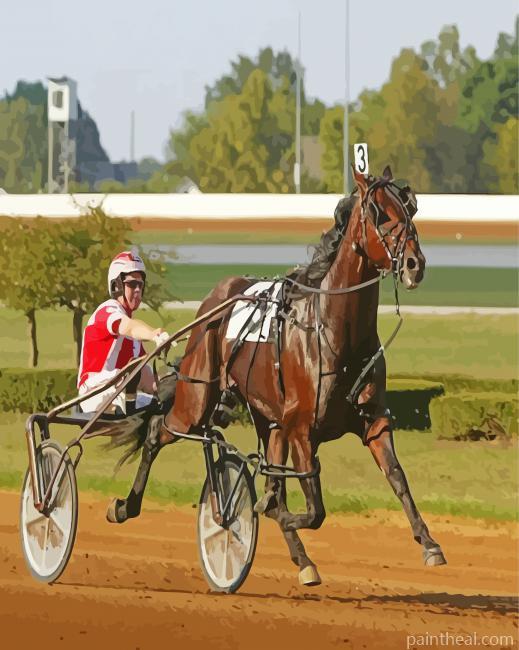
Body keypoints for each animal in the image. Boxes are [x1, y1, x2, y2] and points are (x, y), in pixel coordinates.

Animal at [107, 166, 447, 586]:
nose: (415, 264)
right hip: (198, 399)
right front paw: (262, 510)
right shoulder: (301, 429)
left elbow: (397, 478)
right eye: (379, 213)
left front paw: (429, 543)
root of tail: (217, 297)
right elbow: (309, 509)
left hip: (269, 422)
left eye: (410, 207)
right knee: (157, 431)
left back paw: (303, 561)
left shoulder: (373, 421)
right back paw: (126, 505)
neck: (333, 328)